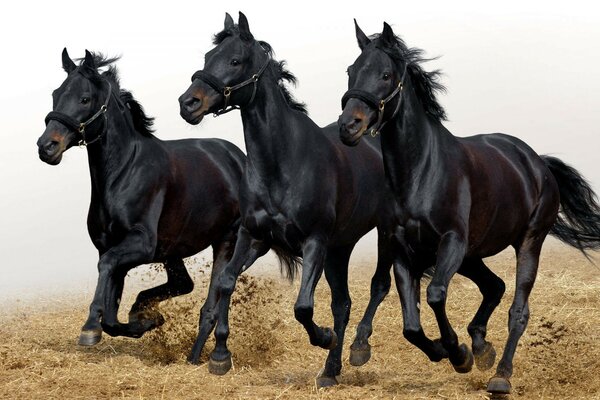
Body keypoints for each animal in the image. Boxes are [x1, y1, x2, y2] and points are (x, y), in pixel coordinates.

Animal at [36, 50, 247, 356]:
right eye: (55, 94)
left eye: (84, 98)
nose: (46, 146)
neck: (124, 172)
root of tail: (239, 158)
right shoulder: (113, 248)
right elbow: (111, 316)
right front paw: (145, 321)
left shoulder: (140, 244)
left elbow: (106, 273)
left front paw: (90, 327)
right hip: (173, 250)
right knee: (183, 283)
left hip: (225, 240)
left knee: (210, 304)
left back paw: (199, 357)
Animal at [178, 13, 404, 388]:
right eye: (208, 57)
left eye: (235, 60)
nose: (188, 104)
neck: (282, 163)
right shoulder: (253, 237)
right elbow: (225, 282)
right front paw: (220, 355)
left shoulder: (314, 242)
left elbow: (303, 307)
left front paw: (323, 336)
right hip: (339, 248)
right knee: (343, 303)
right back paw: (331, 371)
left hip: (383, 233)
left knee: (378, 286)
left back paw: (357, 349)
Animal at [338, 21, 600, 394]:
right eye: (351, 70)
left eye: (386, 74)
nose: (349, 127)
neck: (421, 172)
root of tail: (537, 163)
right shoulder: (402, 248)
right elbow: (411, 324)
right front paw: (449, 351)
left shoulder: (451, 242)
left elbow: (434, 294)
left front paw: (457, 352)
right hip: (473, 255)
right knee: (494, 286)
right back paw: (482, 347)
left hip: (527, 242)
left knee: (518, 309)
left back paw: (500, 375)